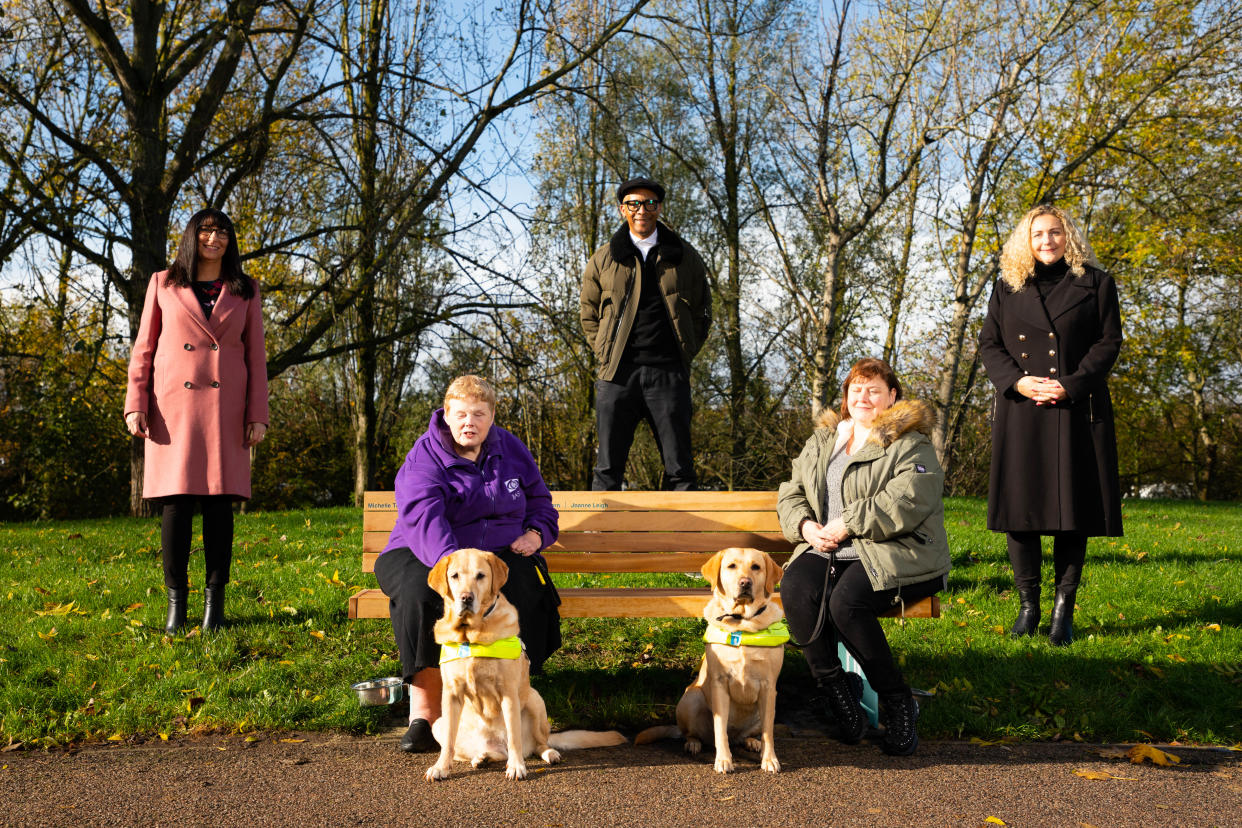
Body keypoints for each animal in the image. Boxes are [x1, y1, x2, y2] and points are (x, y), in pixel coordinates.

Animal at [424, 546, 625, 779]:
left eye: (480, 576)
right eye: (454, 576)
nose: (466, 597)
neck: (471, 636)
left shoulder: (508, 692)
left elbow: (514, 737)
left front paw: (516, 767)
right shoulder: (451, 694)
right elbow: (448, 742)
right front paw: (440, 767)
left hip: (535, 700)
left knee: (536, 744)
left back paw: (549, 754)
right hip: (437, 724)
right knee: (485, 750)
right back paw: (482, 758)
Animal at [640, 546, 784, 774]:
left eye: (756, 567)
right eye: (731, 566)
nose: (745, 582)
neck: (742, 623)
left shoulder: (769, 688)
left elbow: (768, 732)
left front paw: (769, 759)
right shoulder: (719, 684)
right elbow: (720, 728)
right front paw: (723, 760)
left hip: (760, 711)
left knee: (747, 734)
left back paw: (751, 741)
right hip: (692, 698)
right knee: (696, 734)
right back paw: (693, 743)